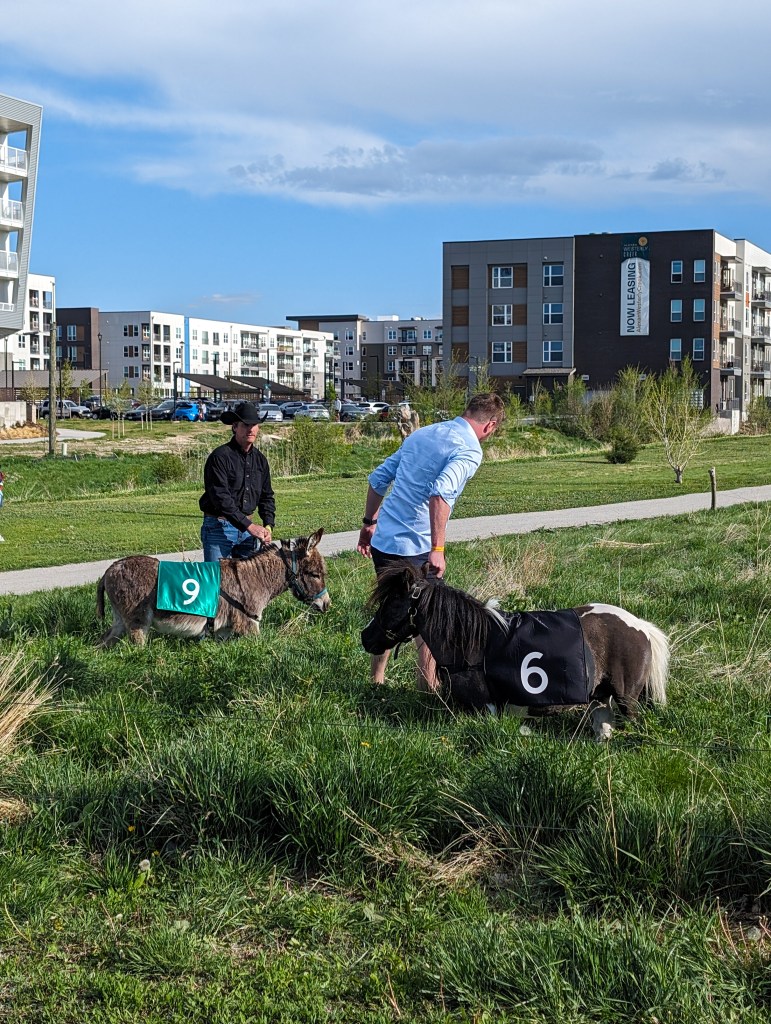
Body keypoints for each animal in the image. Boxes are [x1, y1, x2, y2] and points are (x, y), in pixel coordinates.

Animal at [96, 529, 330, 647]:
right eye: (315, 574)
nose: (327, 604)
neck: (257, 578)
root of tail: (109, 570)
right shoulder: (250, 626)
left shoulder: (223, 631)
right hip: (138, 624)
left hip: (120, 621)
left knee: (103, 642)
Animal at [361, 563, 669, 740]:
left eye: (392, 603)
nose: (366, 637)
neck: (471, 643)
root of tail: (641, 626)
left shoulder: (484, 710)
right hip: (600, 699)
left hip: (627, 700)